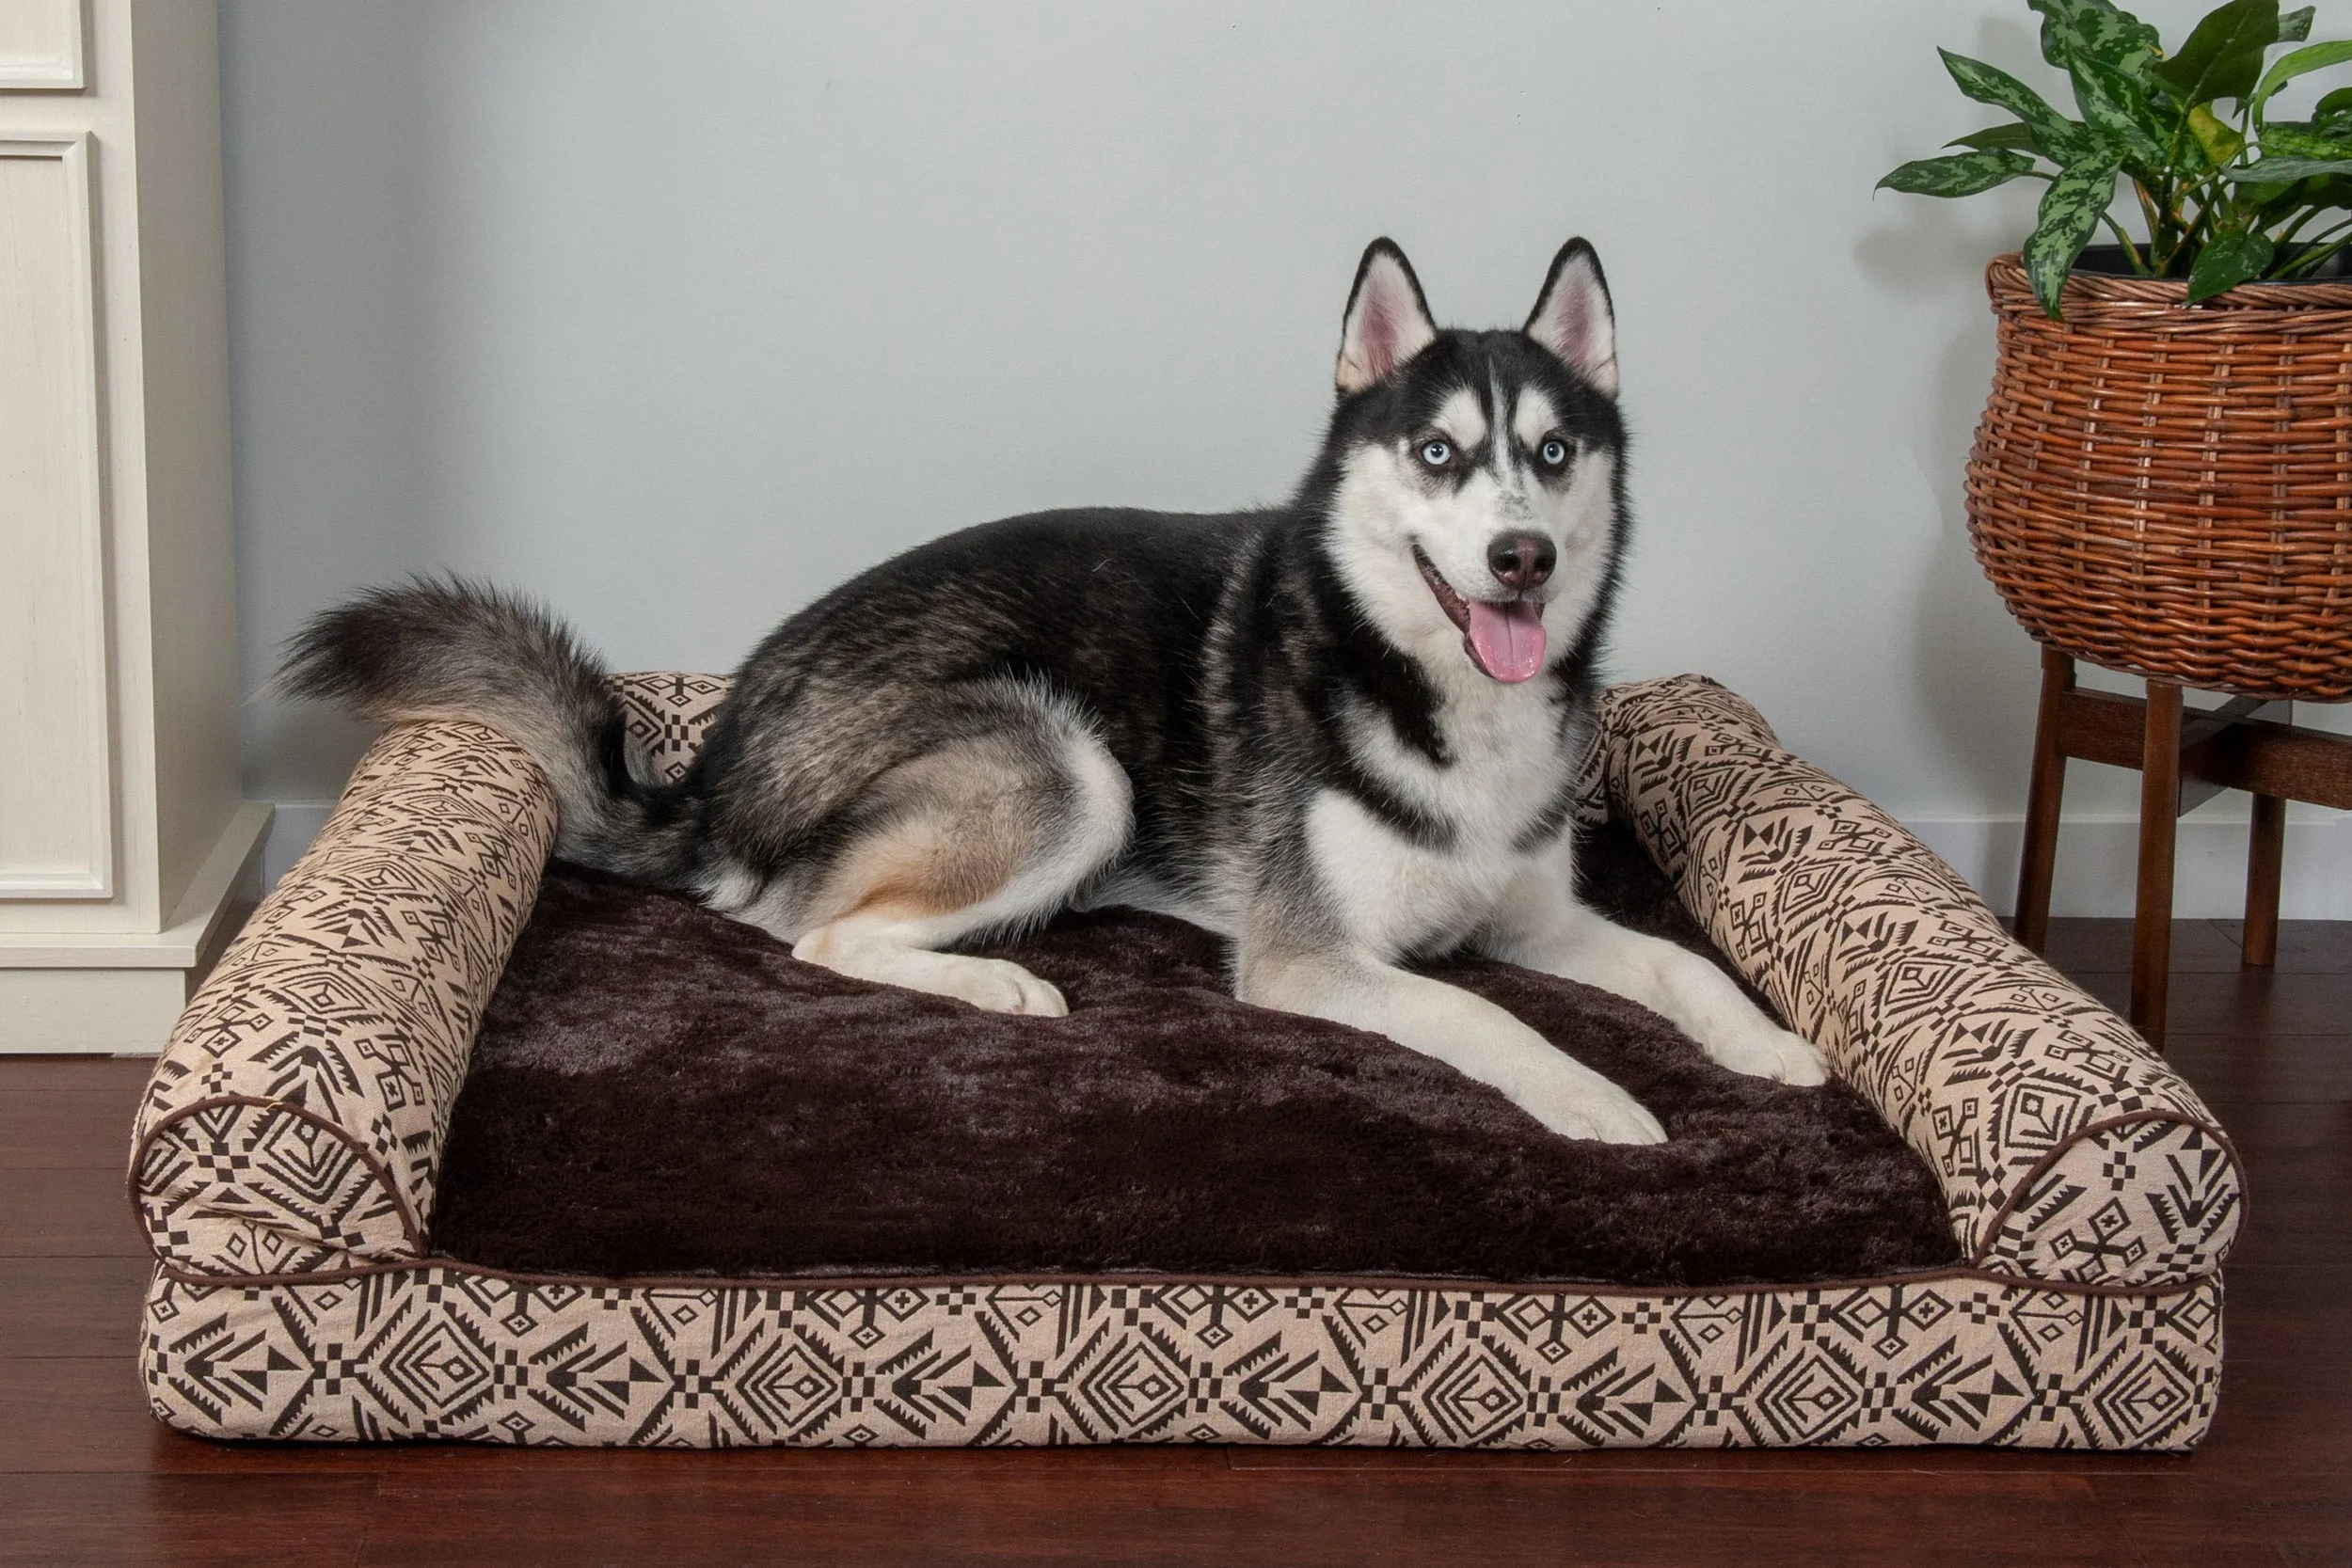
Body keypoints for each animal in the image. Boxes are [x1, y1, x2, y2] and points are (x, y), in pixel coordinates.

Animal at [284, 236, 1825, 1142]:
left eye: (1555, 452)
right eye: (1438, 454)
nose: (1520, 555)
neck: (1426, 686)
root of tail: (717, 760)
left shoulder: (1537, 913)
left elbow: (1680, 960)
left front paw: (1771, 1044)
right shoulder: (1313, 958)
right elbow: (1485, 1014)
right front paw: (1594, 1095)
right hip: (1071, 769)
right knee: (813, 933)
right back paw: (1002, 983)